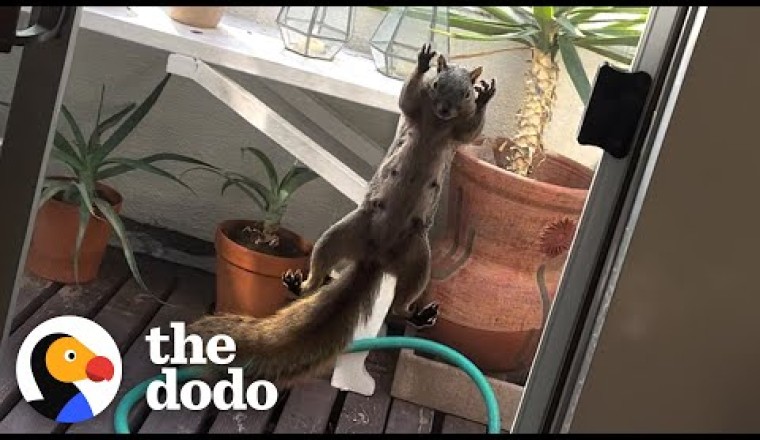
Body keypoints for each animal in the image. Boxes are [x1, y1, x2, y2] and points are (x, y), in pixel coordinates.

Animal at [188, 44, 496, 387]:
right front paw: (421, 62)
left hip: (418, 259)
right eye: (437, 83)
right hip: (340, 235)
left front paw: (486, 97)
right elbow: (406, 97)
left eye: (466, 94)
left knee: (400, 303)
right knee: (320, 271)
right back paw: (301, 285)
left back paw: (414, 313)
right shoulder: (415, 111)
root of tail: (375, 258)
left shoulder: (459, 133)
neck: (438, 124)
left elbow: (472, 130)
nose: (444, 108)